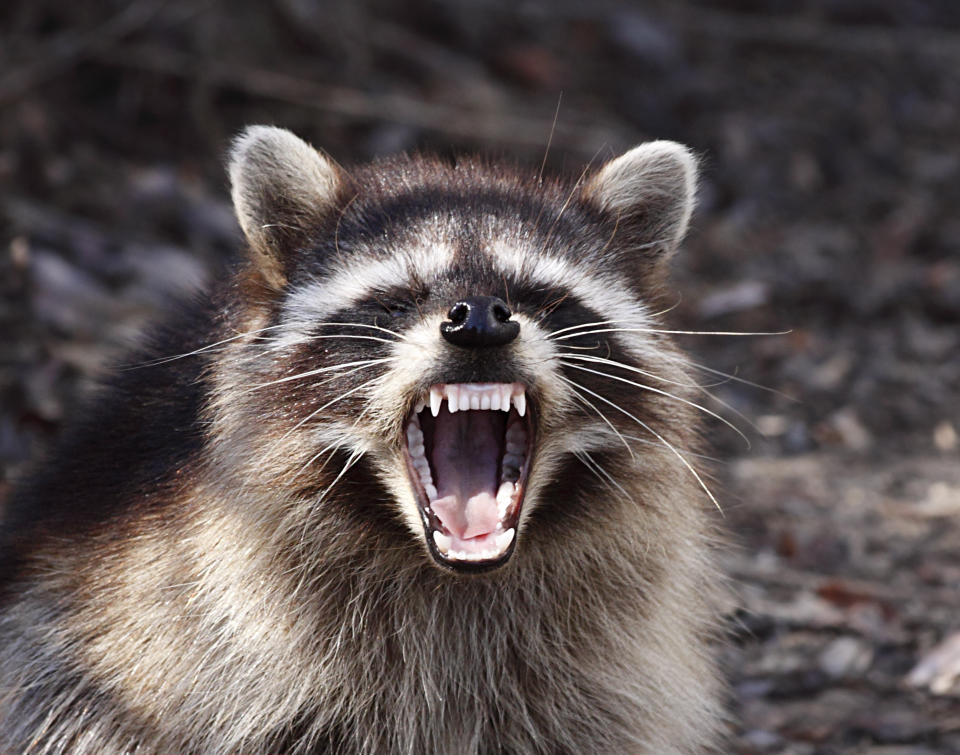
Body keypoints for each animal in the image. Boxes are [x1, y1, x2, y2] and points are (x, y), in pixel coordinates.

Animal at [0, 127, 724, 752]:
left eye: (544, 297)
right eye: (395, 301)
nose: (480, 320)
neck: (452, 573)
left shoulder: (593, 673)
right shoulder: (204, 642)